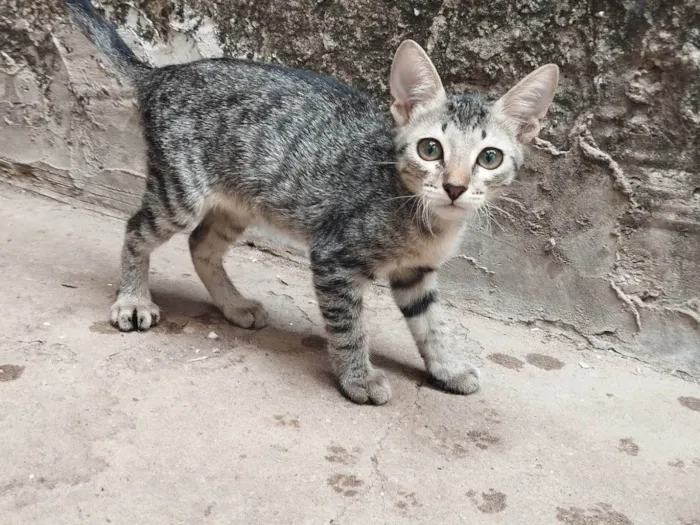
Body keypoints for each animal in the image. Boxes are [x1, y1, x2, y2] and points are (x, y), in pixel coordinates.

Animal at [67, 0, 556, 406]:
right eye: (430, 149)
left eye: (489, 157)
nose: (455, 187)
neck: (426, 218)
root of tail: (160, 74)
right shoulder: (333, 255)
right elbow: (347, 326)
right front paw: (358, 378)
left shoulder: (416, 274)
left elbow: (433, 323)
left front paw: (446, 367)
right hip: (180, 192)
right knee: (136, 229)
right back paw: (132, 300)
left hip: (239, 203)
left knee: (201, 245)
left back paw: (233, 305)